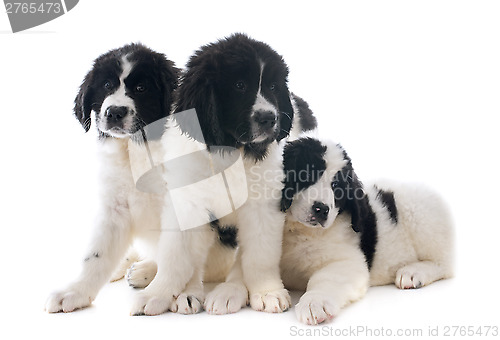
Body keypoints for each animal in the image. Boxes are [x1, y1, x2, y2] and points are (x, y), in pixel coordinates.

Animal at [129, 34, 316, 316]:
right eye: (239, 85)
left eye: (273, 87)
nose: (269, 118)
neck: (228, 151)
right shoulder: (188, 203)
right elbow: (176, 255)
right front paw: (157, 293)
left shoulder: (263, 206)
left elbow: (260, 255)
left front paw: (267, 291)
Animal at [280, 135, 456, 324]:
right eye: (306, 175)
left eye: (336, 186)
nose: (322, 209)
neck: (301, 231)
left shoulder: (347, 261)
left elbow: (325, 278)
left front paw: (314, 302)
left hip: (420, 212)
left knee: (445, 262)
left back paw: (414, 272)